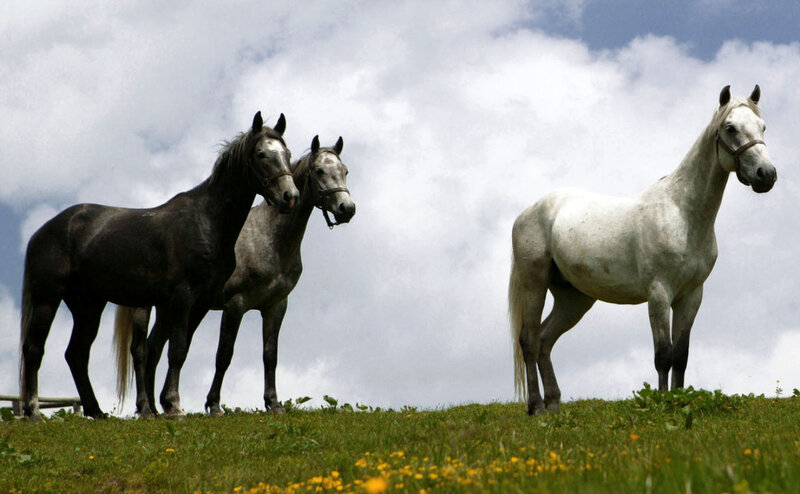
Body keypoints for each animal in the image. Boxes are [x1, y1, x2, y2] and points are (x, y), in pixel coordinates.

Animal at [19, 111, 299, 421]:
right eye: (262, 154)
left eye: (287, 154)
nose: (290, 197)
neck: (206, 222)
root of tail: (44, 231)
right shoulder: (182, 298)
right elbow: (176, 350)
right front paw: (173, 405)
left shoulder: (200, 303)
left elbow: (181, 349)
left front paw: (165, 403)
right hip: (48, 298)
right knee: (34, 349)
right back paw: (34, 411)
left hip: (88, 306)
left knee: (77, 354)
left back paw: (96, 411)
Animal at [114, 135, 355, 416]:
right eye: (319, 171)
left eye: (344, 171)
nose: (347, 208)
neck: (268, 237)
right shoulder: (235, 305)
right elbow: (224, 355)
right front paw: (214, 404)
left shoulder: (275, 306)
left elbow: (270, 355)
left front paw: (273, 403)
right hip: (145, 307)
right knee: (140, 351)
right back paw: (145, 407)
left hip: (168, 308)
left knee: (154, 347)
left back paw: (155, 407)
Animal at [509, 85, 777, 415]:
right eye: (730, 128)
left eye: (762, 126)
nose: (766, 175)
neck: (681, 213)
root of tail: (529, 212)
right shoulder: (659, 294)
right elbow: (663, 355)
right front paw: (662, 403)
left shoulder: (691, 296)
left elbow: (681, 355)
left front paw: (679, 400)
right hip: (534, 284)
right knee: (530, 340)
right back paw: (535, 407)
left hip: (574, 299)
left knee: (546, 340)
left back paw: (554, 404)